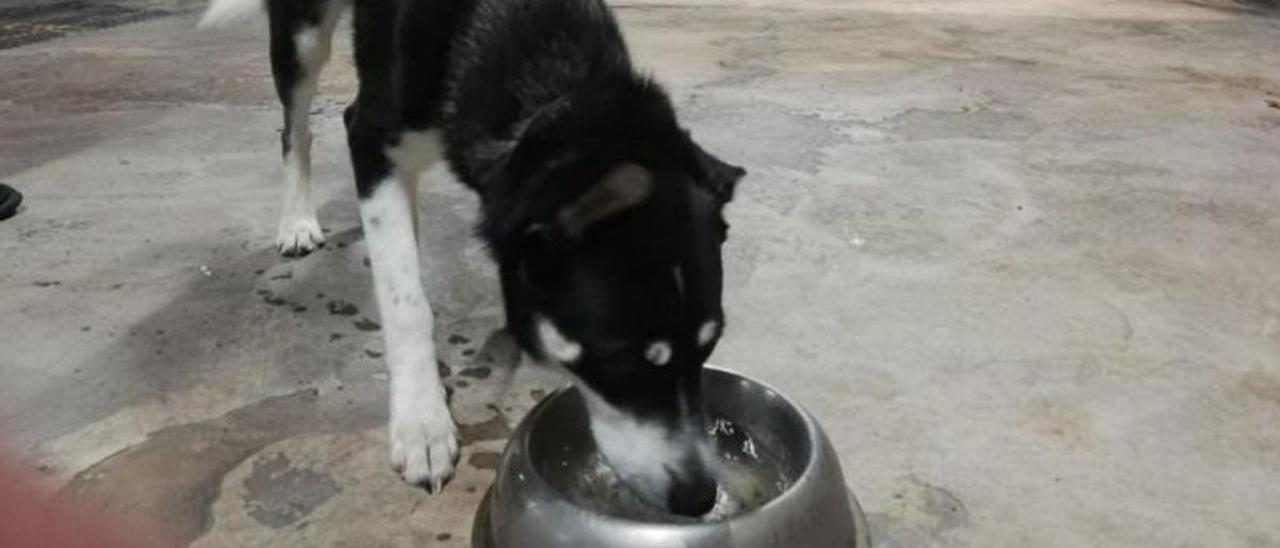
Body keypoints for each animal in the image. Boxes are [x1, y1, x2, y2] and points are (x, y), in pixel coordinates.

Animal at [203, 0, 747, 514]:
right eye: (621, 360)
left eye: (710, 345)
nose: (699, 497)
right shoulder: (376, 139)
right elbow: (406, 304)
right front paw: (421, 421)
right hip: (303, 37)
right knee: (296, 125)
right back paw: (297, 219)